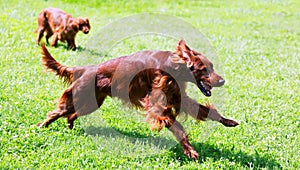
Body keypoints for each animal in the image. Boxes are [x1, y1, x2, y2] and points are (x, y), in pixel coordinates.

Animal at [38, 40, 239, 159]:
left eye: (212, 67)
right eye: (204, 69)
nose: (222, 81)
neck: (174, 67)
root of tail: (85, 69)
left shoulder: (177, 97)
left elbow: (206, 110)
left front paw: (228, 121)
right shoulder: (157, 105)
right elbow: (176, 126)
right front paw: (190, 150)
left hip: (91, 102)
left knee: (72, 114)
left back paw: (70, 126)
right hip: (82, 97)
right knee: (57, 112)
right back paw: (41, 127)